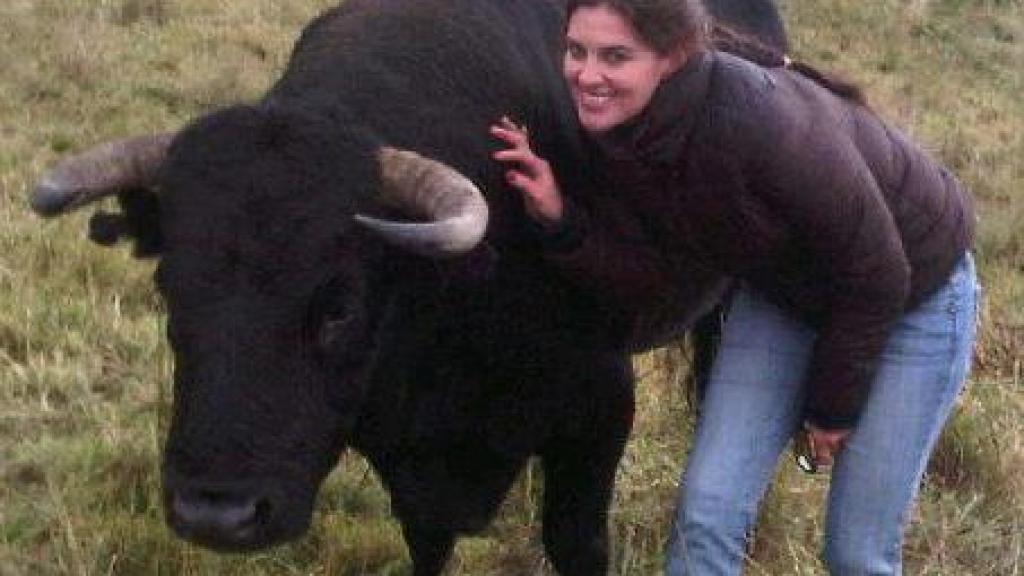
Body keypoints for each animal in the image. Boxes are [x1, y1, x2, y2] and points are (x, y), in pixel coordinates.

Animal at [29, 0, 782, 569]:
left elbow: (576, 542)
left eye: (338, 306)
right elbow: (427, 537)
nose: (217, 512)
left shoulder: (598, 412)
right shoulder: (402, 445)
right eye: (170, 289)